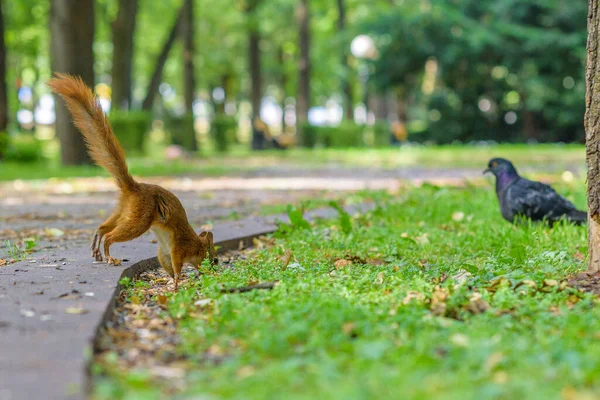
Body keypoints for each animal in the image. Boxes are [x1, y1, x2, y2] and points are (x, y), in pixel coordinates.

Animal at [48, 73, 218, 290]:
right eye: (215, 259)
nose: (214, 270)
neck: (195, 244)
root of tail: (134, 187)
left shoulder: (165, 251)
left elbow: (166, 264)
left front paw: (172, 281)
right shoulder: (179, 248)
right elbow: (176, 266)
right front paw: (177, 284)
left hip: (125, 210)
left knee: (103, 227)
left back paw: (97, 248)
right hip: (140, 219)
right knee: (111, 236)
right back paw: (110, 256)